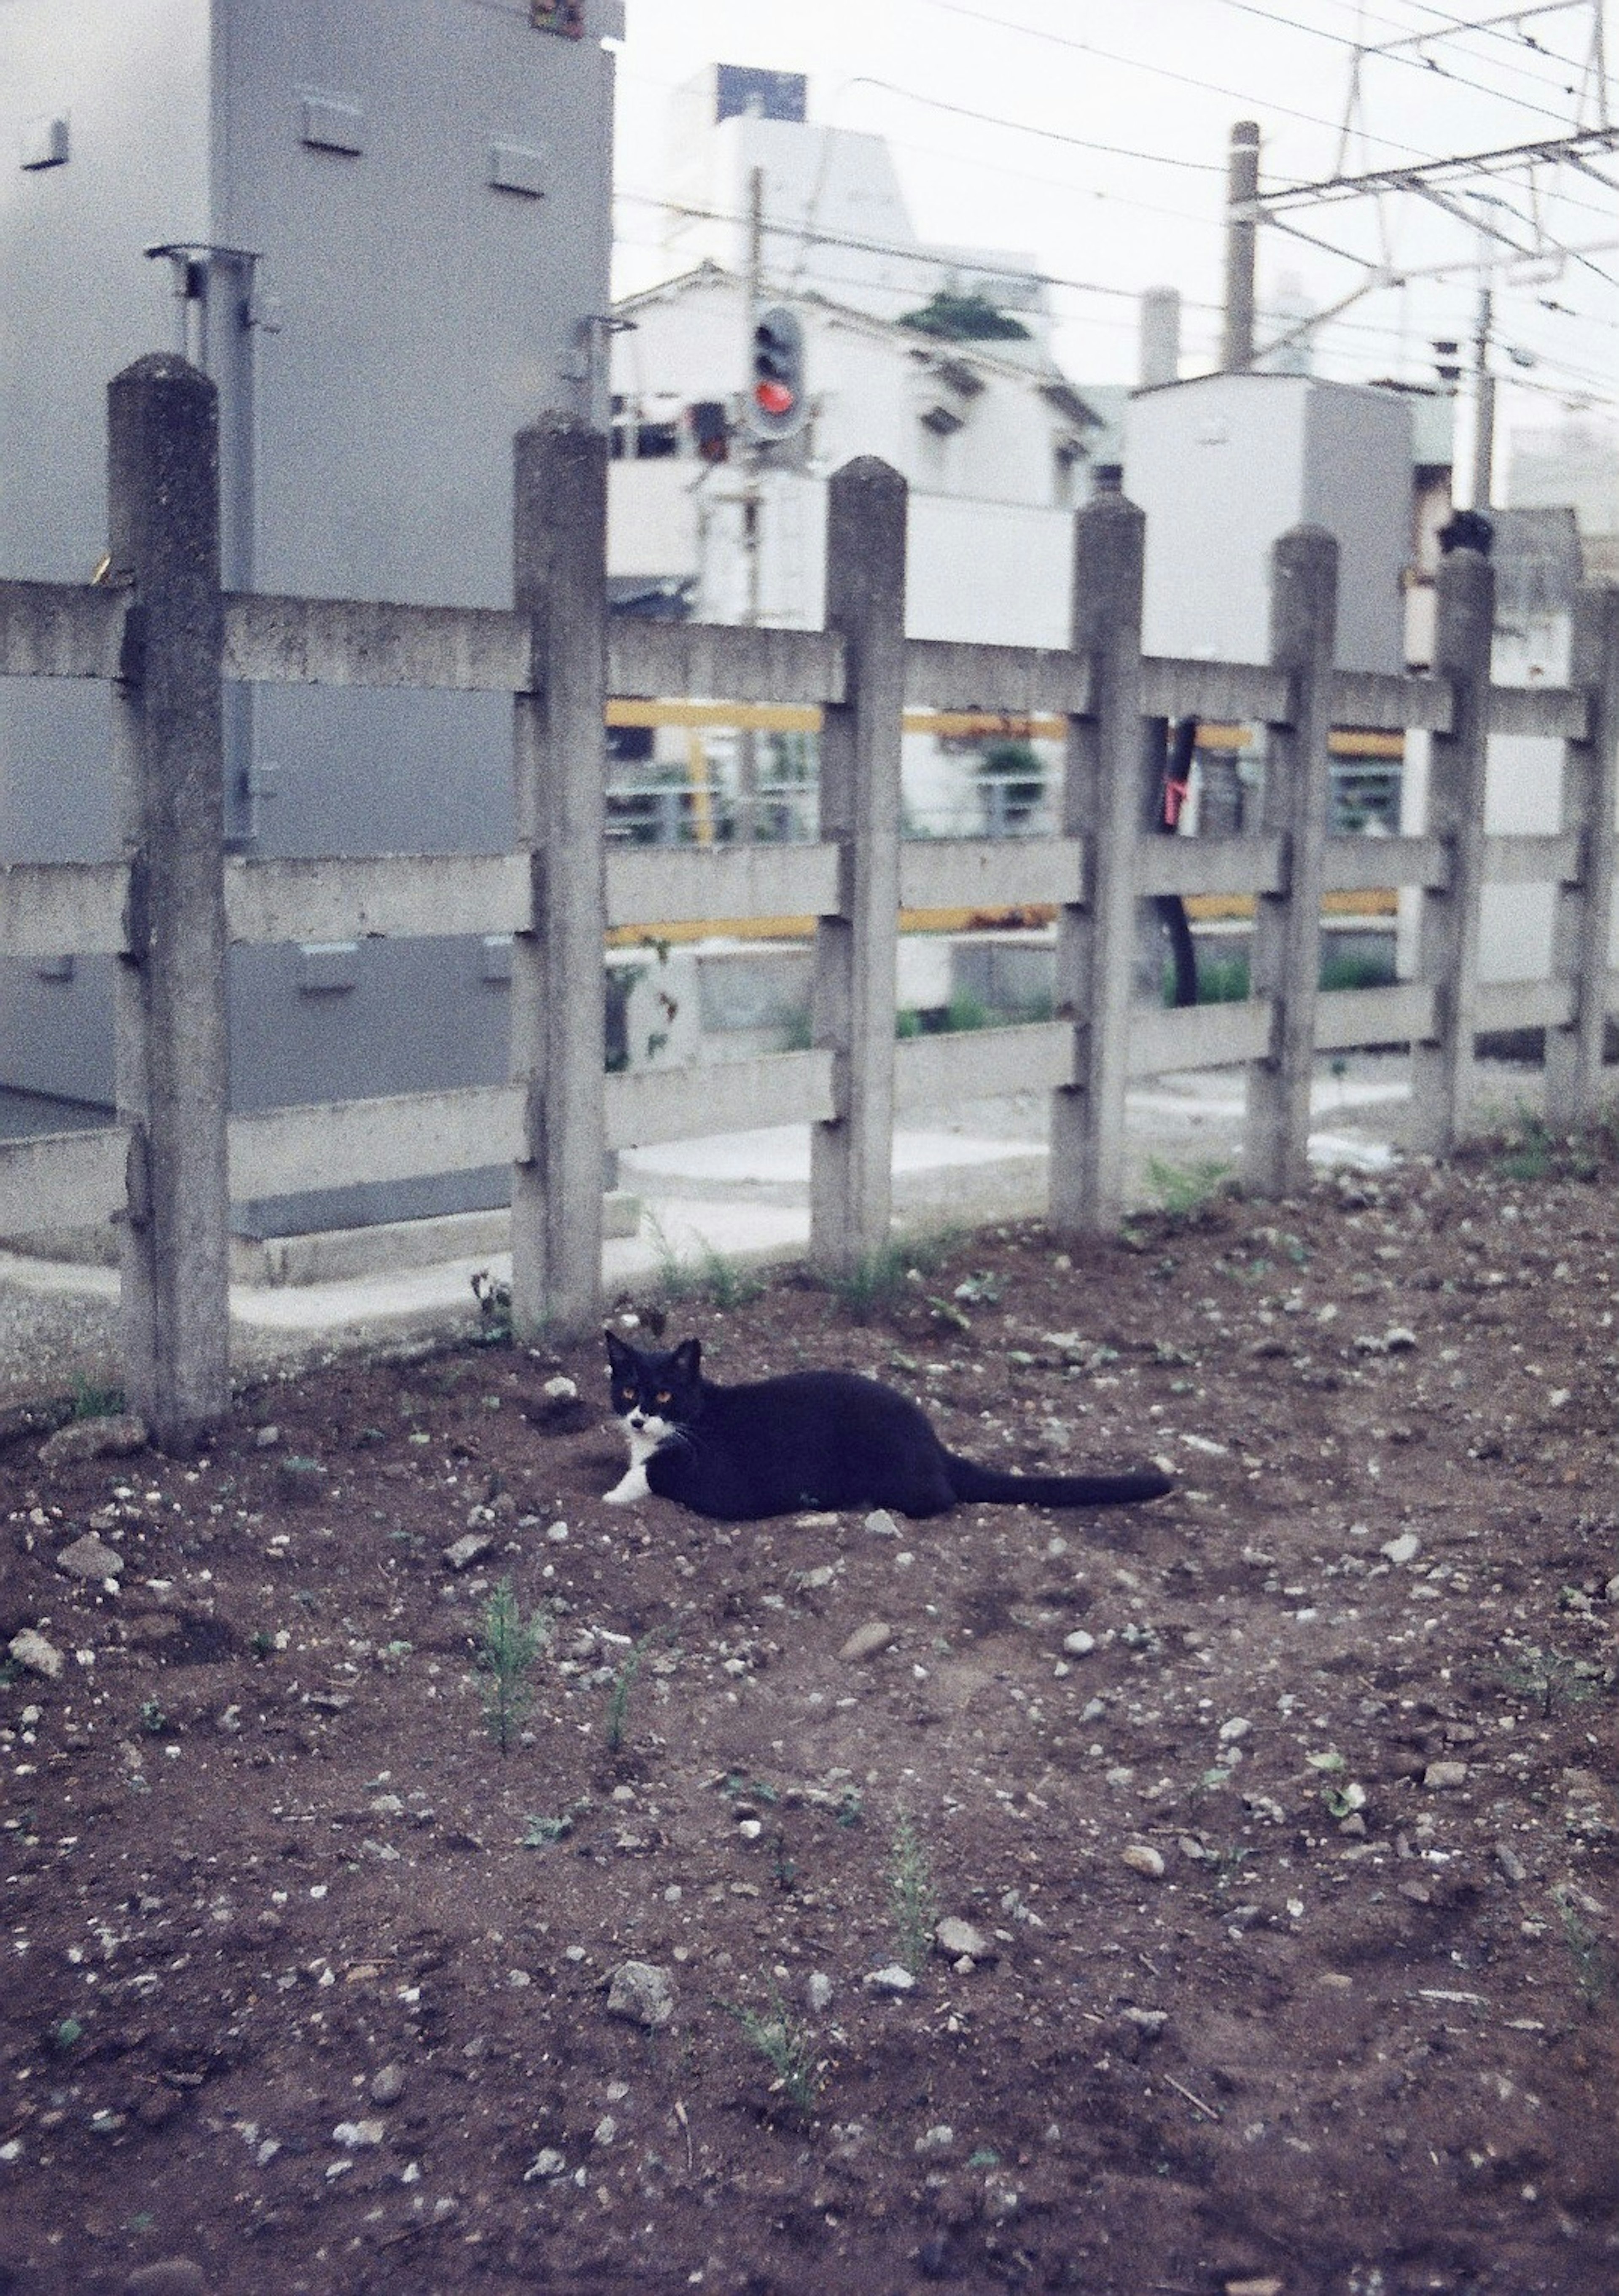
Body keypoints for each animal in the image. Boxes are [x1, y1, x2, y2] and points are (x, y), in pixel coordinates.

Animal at [602, 1332, 1166, 1524]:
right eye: (629, 1391)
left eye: (666, 1395)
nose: (639, 1417)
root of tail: (932, 1440)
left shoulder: (715, 1477)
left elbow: (654, 1472)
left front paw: (614, 1494)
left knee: (941, 1498)